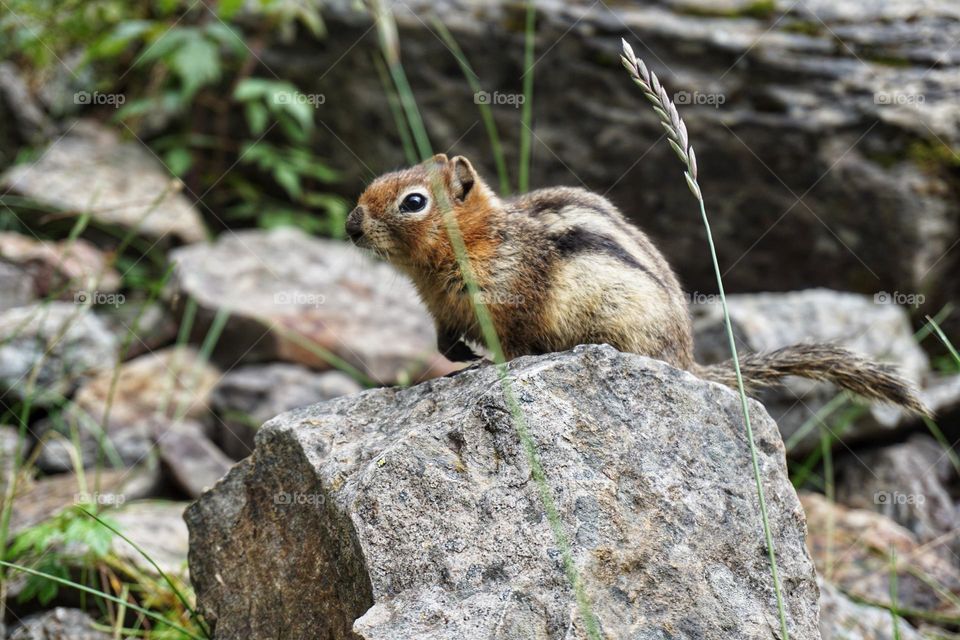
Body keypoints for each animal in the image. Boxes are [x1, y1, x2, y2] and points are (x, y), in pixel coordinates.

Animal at [346, 153, 929, 416]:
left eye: (413, 202)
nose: (351, 225)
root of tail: (687, 360)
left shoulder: (512, 298)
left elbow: (514, 344)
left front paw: (489, 365)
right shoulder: (442, 310)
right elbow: (444, 338)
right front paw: (458, 358)